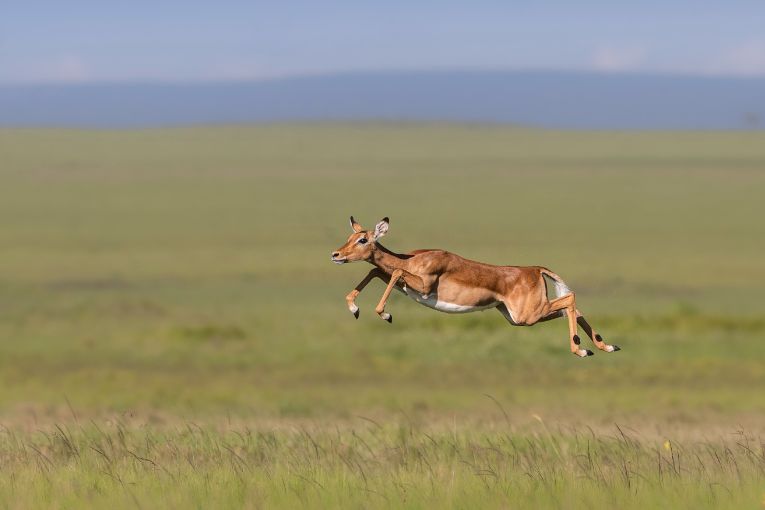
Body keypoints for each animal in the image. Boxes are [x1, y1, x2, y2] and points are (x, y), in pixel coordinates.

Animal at [332, 217, 616, 356]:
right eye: (350, 236)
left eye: (363, 239)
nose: (336, 255)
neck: (412, 258)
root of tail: (534, 269)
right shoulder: (403, 284)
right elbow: (376, 271)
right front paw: (355, 308)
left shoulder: (422, 286)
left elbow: (394, 271)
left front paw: (385, 314)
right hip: (518, 316)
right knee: (572, 308)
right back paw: (605, 347)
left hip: (528, 315)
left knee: (570, 299)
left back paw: (582, 350)